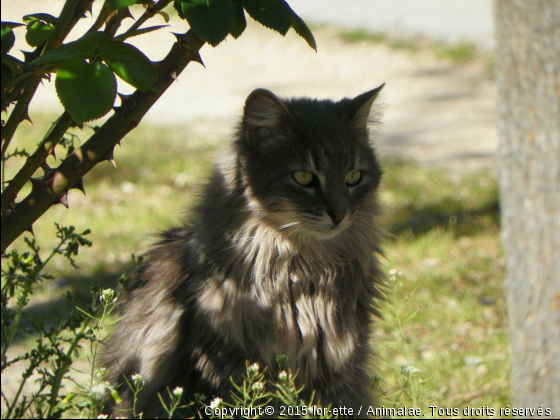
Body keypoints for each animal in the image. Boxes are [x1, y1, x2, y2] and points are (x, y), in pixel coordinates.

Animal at [103, 85, 388, 416]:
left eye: (354, 177)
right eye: (304, 177)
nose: (339, 214)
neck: (307, 270)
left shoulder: (340, 367)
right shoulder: (222, 362)